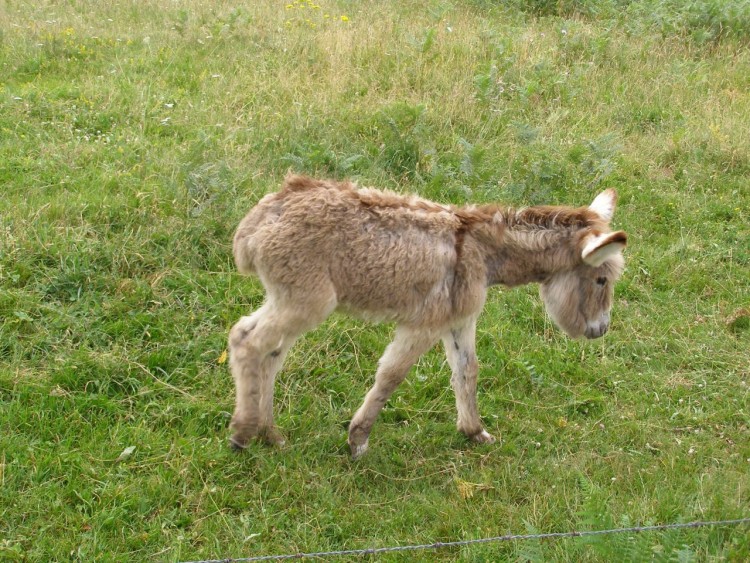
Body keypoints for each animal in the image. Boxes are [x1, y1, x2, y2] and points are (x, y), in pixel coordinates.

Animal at [229, 176, 628, 458]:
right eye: (602, 280)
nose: (601, 329)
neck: (480, 249)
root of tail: (260, 219)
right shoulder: (425, 323)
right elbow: (391, 375)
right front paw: (358, 440)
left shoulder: (459, 319)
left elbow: (467, 371)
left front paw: (474, 432)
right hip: (306, 301)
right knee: (246, 340)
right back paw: (243, 433)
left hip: (291, 299)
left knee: (267, 351)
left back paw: (270, 434)